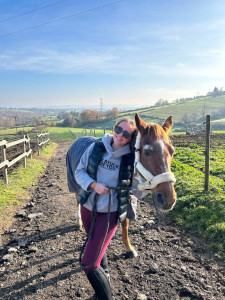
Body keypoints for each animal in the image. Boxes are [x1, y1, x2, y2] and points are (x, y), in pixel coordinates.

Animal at [66, 113, 177, 258]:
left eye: (172, 151)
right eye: (147, 152)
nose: (168, 200)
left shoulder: (127, 198)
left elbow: (124, 222)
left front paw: (128, 247)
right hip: (75, 181)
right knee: (78, 199)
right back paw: (78, 220)